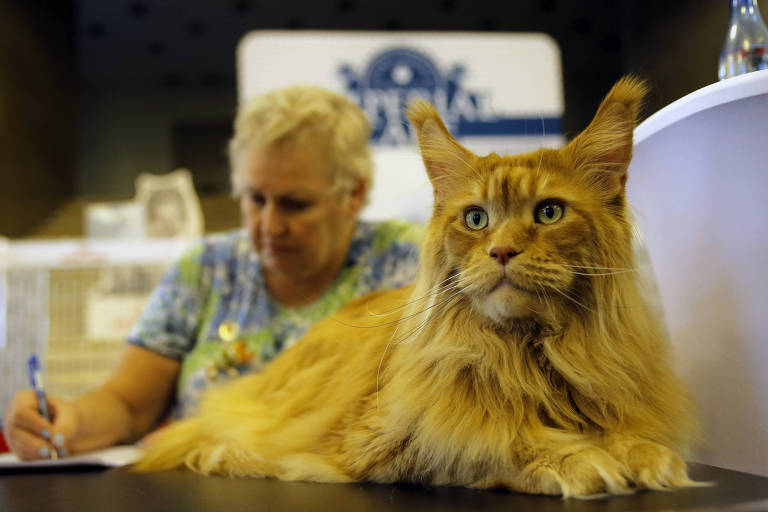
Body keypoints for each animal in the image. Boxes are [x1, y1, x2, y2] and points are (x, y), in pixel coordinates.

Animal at [134, 78, 704, 498]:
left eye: (549, 213)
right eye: (476, 219)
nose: (501, 251)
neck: (528, 355)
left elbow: (628, 436)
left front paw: (646, 455)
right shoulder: (384, 443)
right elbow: (492, 441)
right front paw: (576, 458)